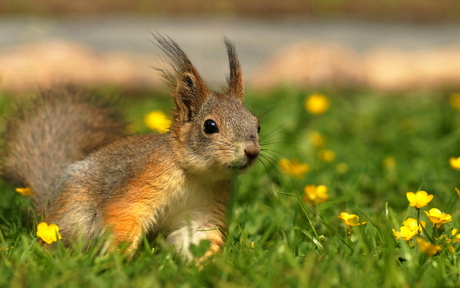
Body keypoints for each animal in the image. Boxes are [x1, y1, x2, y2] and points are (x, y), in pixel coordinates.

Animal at [0, 35, 260, 260]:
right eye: (210, 126)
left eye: (257, 124)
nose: (252, 152)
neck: (195, 175)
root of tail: (50, 203)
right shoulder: (142, 180)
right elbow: (123, 215)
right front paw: (119, 259)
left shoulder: (202, 213)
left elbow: (198, 237)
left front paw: (203, 265)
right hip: (74, 213)